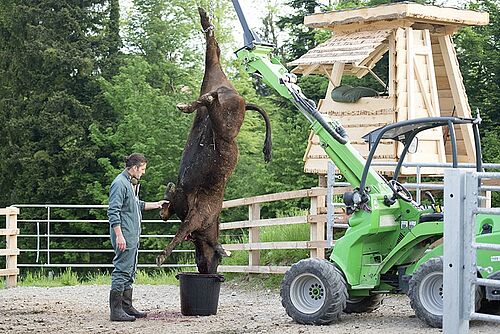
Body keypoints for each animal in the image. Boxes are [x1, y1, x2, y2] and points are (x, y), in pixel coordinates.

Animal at [157, 7, 272, 274]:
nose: (209, 269)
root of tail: (238, 97)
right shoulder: (193, 215)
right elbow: (176, 225)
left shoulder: (195, 215)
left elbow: (177, 225)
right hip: (219, 105)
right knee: (212, 70)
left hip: (218, 104)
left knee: (212, 68)